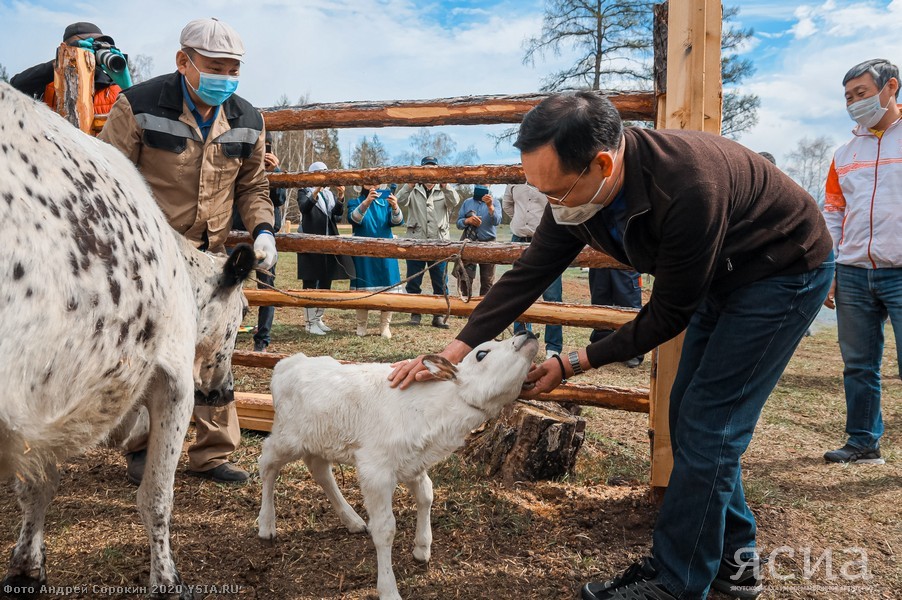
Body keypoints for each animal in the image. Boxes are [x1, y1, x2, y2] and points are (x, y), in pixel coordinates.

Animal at [0, 82, 258, 596]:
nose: (225, 392)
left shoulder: (39, 409)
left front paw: (26, 565)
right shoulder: (174, 382)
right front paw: (167, 578)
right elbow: (156, 496)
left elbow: (36, 487)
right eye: (241, 314)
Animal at [256, 332, 536, 600]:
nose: (527, 334)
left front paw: (422, 548)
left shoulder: (413, 463)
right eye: (481, 353)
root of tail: (289, 362)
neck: (435, 408)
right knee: (267, 462)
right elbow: (385, 529)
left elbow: (427, 495)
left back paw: (352, 520)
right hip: (287, 436)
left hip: (319, 439)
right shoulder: (375, 470)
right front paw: (388, 589)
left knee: (320, 470)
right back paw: (266, 524)